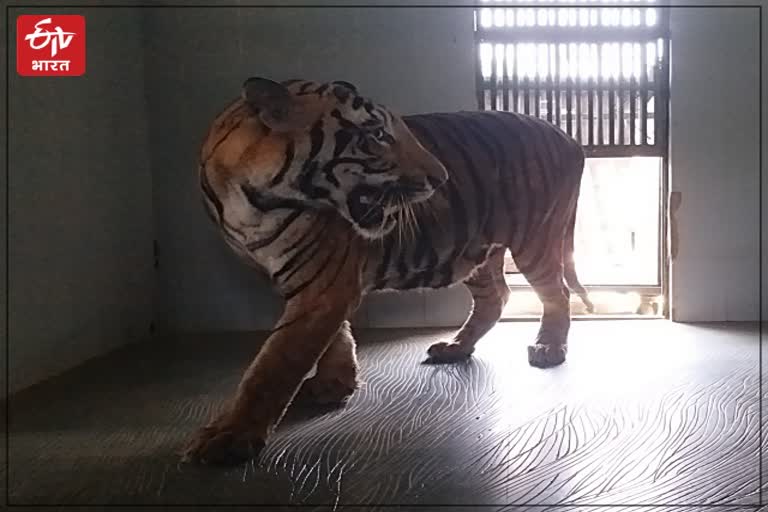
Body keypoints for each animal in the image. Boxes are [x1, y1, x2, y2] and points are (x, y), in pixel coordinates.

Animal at [184, 78, 592, 466]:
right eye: (377, 135)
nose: (441, 178)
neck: (252, 198)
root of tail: (569, 138)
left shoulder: (322, 284)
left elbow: (275, 364)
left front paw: (229, 436)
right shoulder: (312, 283)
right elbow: (332, 336)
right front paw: (336, 383)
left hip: (534, 238)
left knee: (557, 294)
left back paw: (548, 347)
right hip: (475, 248)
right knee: (496, 298)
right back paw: (456, 347)